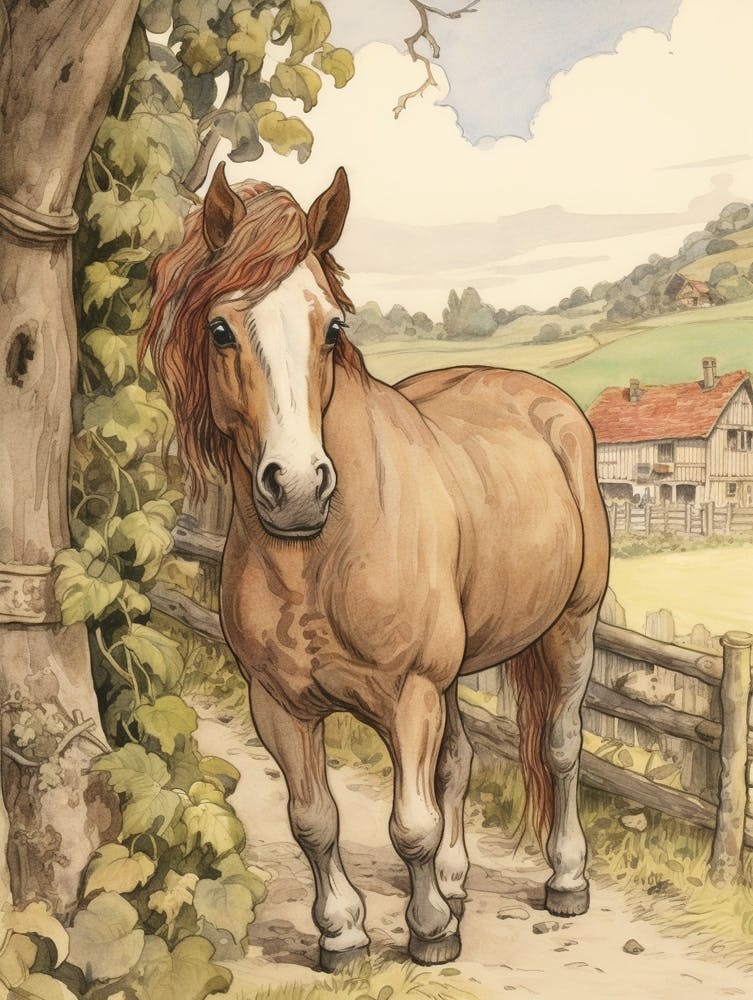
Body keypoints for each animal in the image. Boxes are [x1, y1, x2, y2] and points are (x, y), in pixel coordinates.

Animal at [143, 162, 610, 971]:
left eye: (332, 327)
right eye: (220, 329)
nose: (298, 486)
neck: (321, 556)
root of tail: (543, 400)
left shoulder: (410, 693)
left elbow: (410, 824)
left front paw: (427, 934)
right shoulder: (279, 704)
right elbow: (314, 820)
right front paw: (344, 934)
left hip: (568, 631)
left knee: (558, 747)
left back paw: (564, 880)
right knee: (459, 761)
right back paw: (454, 885)